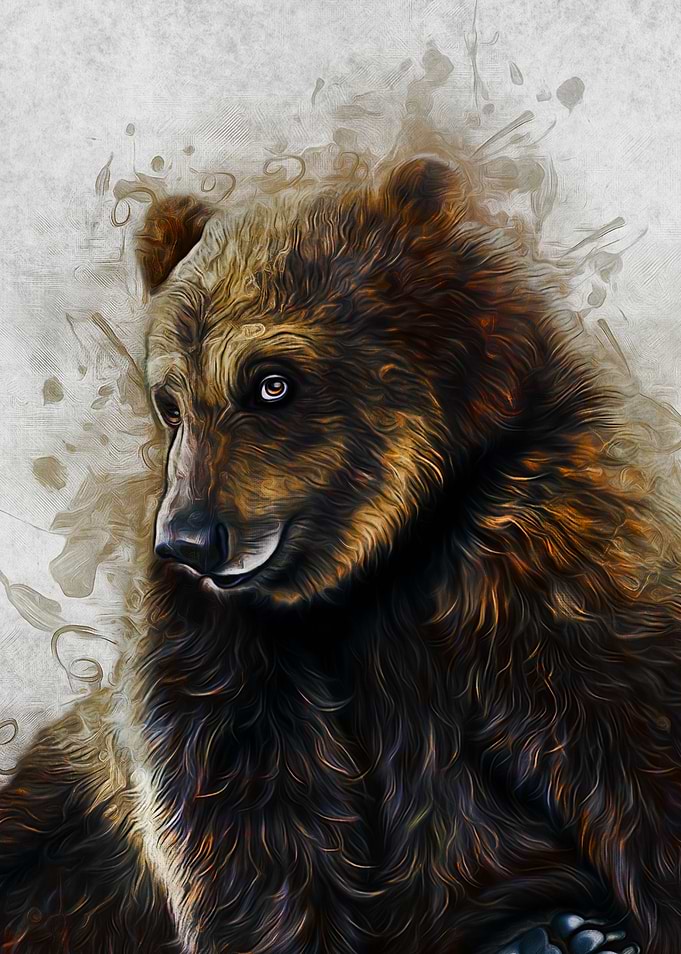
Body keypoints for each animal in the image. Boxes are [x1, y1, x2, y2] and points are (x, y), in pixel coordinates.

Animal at [0, 155, 678, 954]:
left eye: (271, 382)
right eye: (170, 403)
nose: (189, 540)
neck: (369, 567)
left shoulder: (535, 547)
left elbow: (627, 737)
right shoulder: (224, 652)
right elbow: (248, 828)